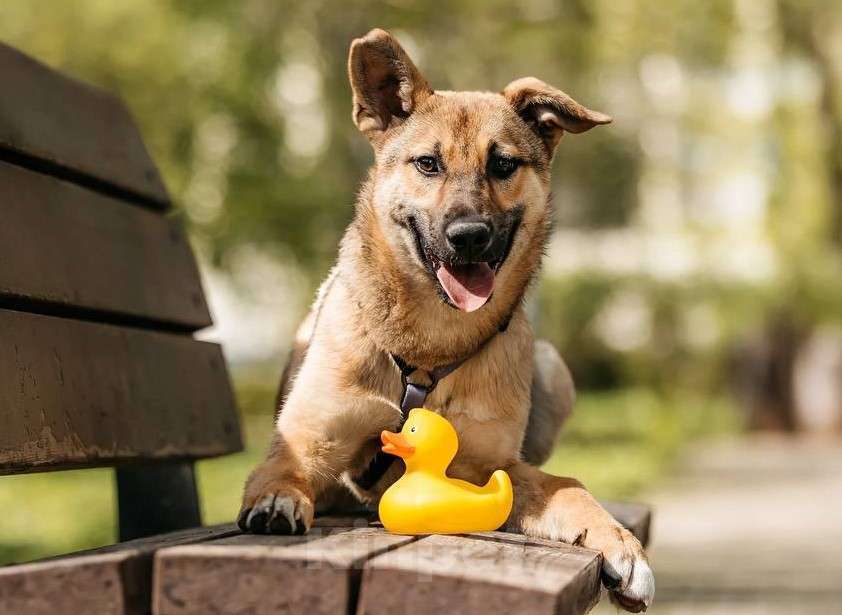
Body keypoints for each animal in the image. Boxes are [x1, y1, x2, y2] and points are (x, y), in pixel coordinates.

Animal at [240, 27, 652, 612]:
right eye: (427, 164)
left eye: (503, 165)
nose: (469, 236)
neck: (431, 343)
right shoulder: (308, 446)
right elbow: (283, 471)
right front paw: (277, 501)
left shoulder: (493, 470)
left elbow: (566, 485)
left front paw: (621, 545)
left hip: (552, 367)